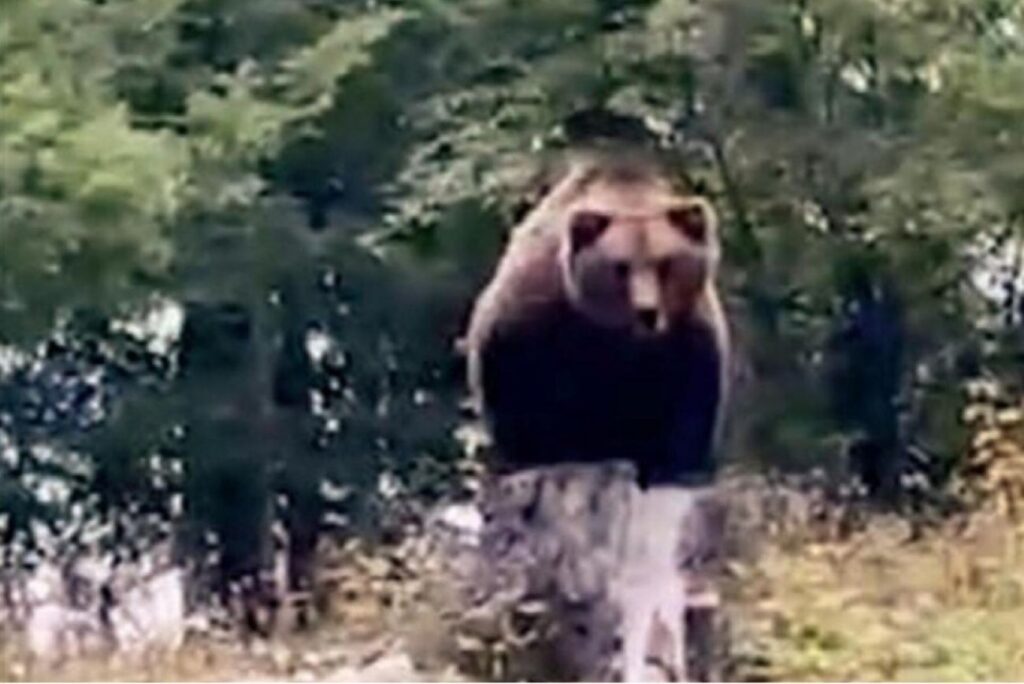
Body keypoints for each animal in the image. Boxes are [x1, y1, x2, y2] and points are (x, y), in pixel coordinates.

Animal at [464, 148, 731, 486]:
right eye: (621, 267)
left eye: (665, 263)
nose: (647, 312)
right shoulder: (536, 318)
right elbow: (518, 385)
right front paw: (533, 454)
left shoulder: (685, 332)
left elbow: (691, 399)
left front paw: (678, 467)